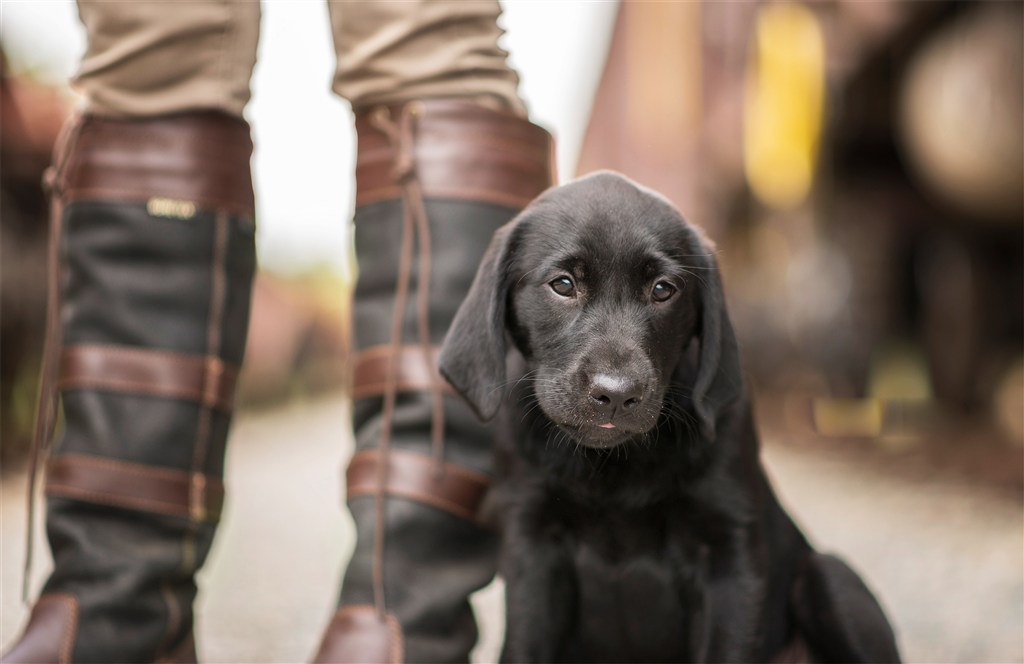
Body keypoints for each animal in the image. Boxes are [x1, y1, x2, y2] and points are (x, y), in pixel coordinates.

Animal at [436, 172, 901, 664]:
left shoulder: (728, 557)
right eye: (562, 284)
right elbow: (526, 646)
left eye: (663, 290)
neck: (614, 466)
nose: (617, 394)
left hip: (832, 580)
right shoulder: (533, 549)